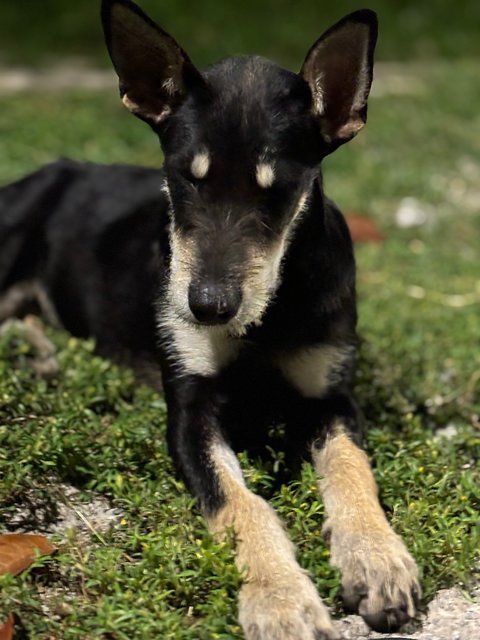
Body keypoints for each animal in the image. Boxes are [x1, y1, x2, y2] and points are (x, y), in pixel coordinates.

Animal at [0, 2, 420, 636]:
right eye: (183, 178)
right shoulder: (189, 407)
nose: (206, 308)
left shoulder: (331, 394)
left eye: (279, 192)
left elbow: (353, 468)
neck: (268, 317)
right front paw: (281, 600)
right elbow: (240, 502)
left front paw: (377, 557)